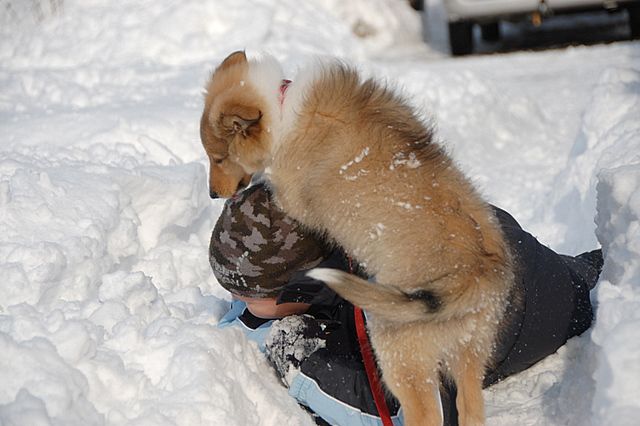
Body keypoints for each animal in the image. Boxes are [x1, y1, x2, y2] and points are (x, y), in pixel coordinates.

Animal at [200, 50, 516, 426]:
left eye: (219, 157)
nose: (212, 194)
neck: (281, 107)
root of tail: (472, 276)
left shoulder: (293, 200)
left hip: (399, 355)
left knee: (424, 412)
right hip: (470, 352)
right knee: (470, 408)